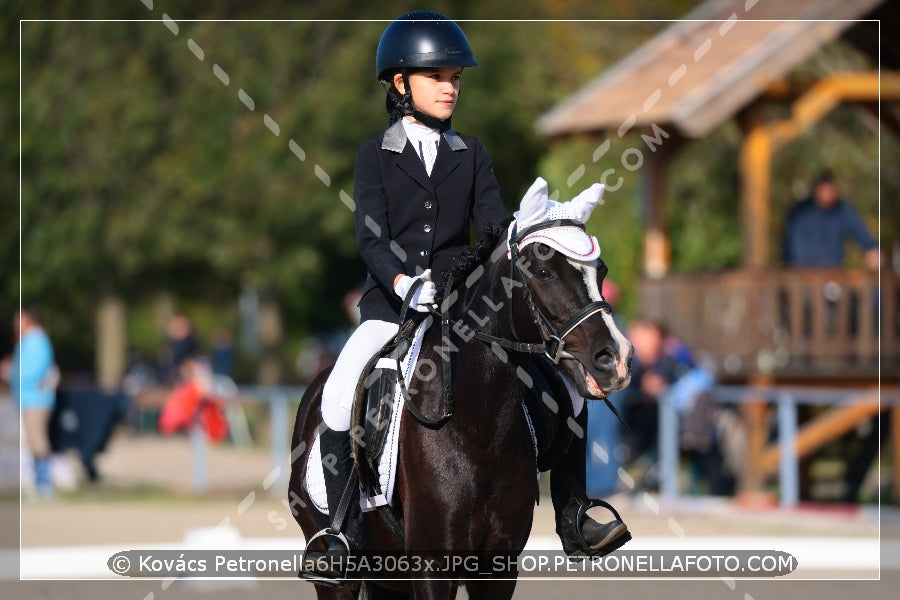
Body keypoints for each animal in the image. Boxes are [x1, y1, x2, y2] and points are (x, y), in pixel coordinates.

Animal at [290, 213, 632, 596]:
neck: (478, 426)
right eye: (543, 271)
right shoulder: (431, 565)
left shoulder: (498, 565)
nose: (615, 359)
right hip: (338, 578)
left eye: (601, 271)